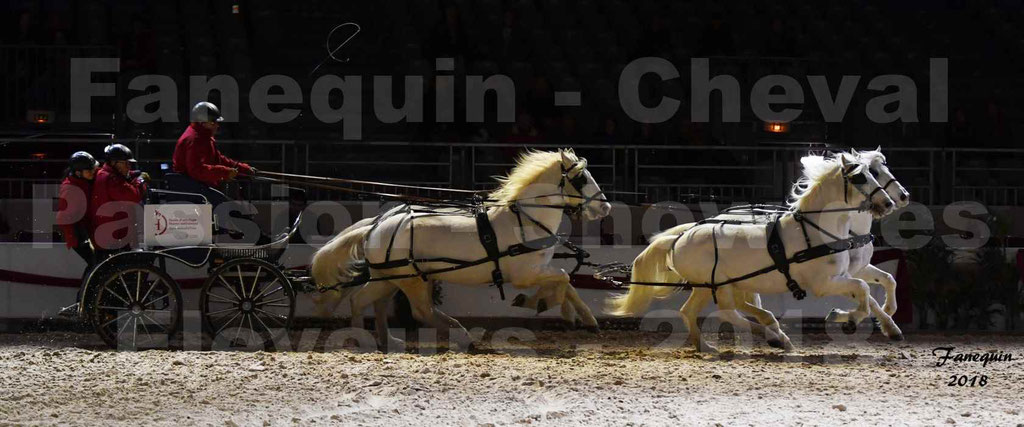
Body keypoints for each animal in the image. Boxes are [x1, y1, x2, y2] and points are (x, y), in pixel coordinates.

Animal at [311, 148, 610, 348]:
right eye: (581, 179)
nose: (605, 207)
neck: (525, 220)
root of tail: (376, 225)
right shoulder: (525, 274)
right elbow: (563, 277)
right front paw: (537, 302)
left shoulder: (541, 268)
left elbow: (566, 282)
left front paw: (581, 318)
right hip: (411, 279)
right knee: (420, 311)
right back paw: (460, 336)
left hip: (388, 277)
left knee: (365, 301)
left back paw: (382, 340)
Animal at [606, 151, 897, 350]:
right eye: (862, 177)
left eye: (874, 173)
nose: (890, 202)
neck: (817, 230)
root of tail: (681, 236)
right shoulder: (823, 284)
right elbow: (864, 289)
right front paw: (849, 319)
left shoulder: (842, 276)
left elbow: (871, 288)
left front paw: (860, 319)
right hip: (714, 283)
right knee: (726, 311)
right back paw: (772, 336)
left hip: (713, 285)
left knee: (694, 311)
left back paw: (712, 344)